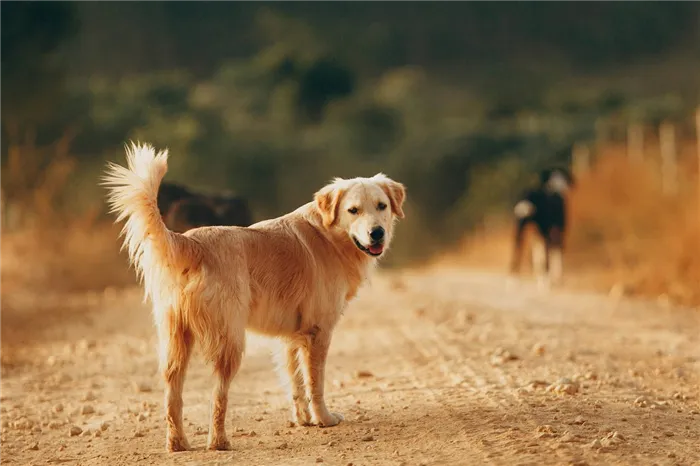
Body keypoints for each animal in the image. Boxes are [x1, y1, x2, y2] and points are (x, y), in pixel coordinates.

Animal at [105, 142, 410, 452]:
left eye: (382, 206)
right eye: (353, 210)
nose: (377, 233)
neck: (329, 234)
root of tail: (192, 242)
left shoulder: (292, 336)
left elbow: (295, 382)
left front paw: (303, 419)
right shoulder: (318, 332)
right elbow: (315, 383)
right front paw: (323, 419)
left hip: (176, 338)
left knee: (172, 393)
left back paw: (178, 443)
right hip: (230, 341)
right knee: (218, 395)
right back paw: (219, 441)